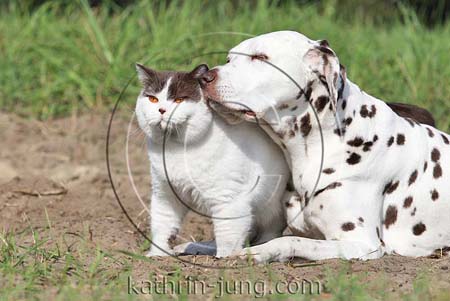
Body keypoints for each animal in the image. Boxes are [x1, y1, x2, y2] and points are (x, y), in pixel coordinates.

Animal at [134, 63, 290, 255]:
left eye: (179, 100)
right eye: (153, 99)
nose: (161, 110)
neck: (175, 148)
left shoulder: (228, 199)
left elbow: (227, 233)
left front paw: (225, 258)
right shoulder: (165, 194)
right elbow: (162, 224)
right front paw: (158, 255)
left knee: (269, 229)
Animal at [200, 29, 450, 262]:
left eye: (260, 57)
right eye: (229, 59)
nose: (204, 77)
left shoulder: (361, 243)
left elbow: (291, 240)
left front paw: (259, 252)